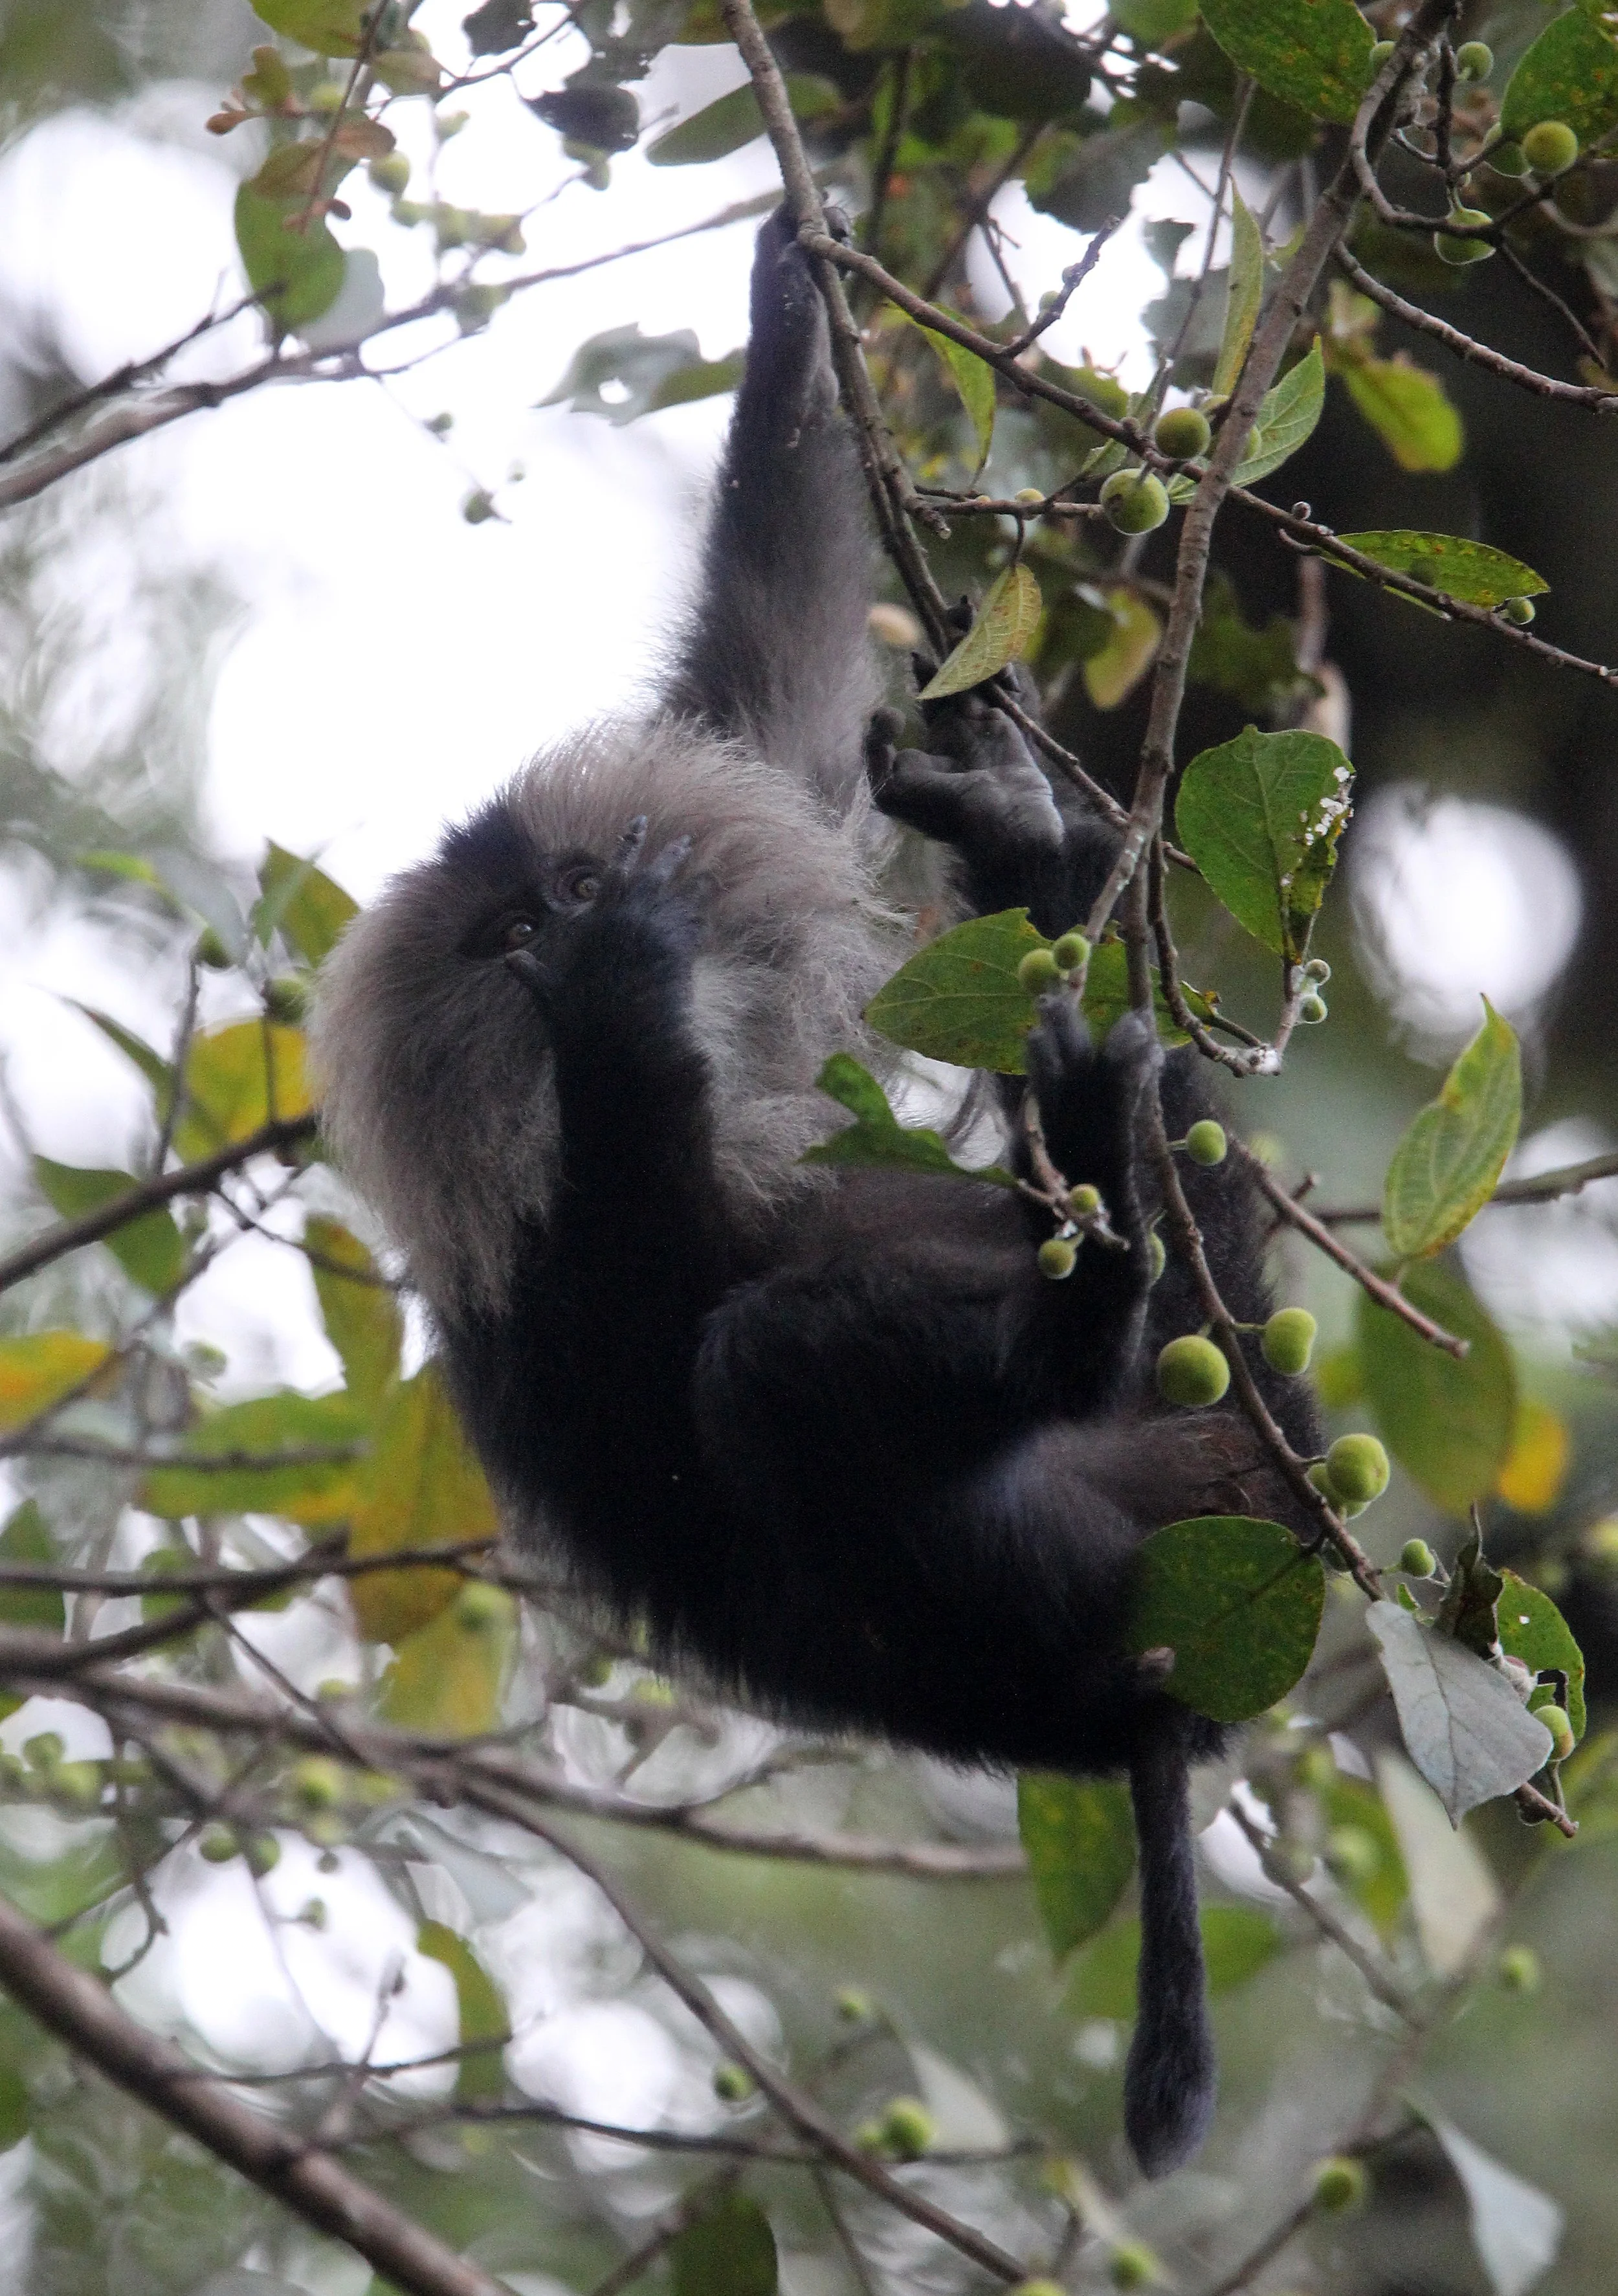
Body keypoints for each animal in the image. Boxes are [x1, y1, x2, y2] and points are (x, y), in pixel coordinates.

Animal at [313, 204, 1321, 2179]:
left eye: (557, 880)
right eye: (507, 934)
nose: (572, 923)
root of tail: (1151, 1722)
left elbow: (769, 697)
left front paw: (792, 292)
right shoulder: (541, 1257)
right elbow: (656, 1316)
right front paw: (618, 1010)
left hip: (1244, 1458)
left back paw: (1044, 900)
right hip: (1074, 1582)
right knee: (763, 1365)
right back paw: (1078, 1293)